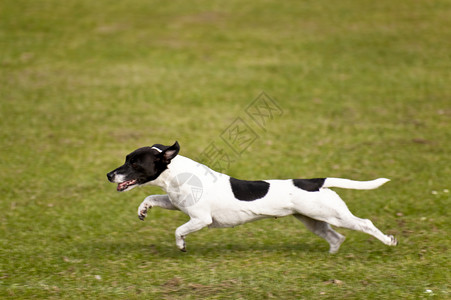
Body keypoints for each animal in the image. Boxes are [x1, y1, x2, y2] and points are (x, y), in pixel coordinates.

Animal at [107, 142, 398, 252]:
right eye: (126, 158)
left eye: (134, 163)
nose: (109, 175)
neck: (178, 175)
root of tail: (316, 182)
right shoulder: (176, 204)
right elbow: (152, 197)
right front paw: (143, 210)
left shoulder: (200, 219)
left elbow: (178, 231)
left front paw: (181, 246)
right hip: (313, 220)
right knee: (336, 237)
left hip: (333, 215)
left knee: (365, 224)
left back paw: (389, 241)